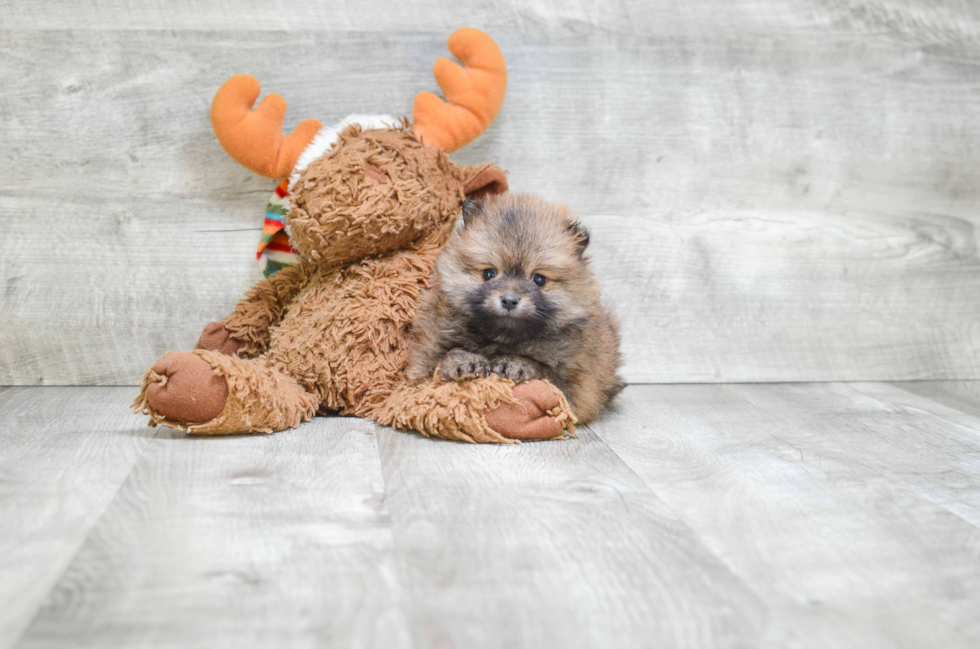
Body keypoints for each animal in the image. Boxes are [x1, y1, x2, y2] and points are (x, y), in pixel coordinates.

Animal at [408, 191, 624, 426]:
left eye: (538, 279)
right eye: (489, 273)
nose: (509, 300)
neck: (502, 337)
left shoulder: (578, 383)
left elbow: (545, 371)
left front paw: (515, 363)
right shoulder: (421, 362)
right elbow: (440, 360)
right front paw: (464, 360)